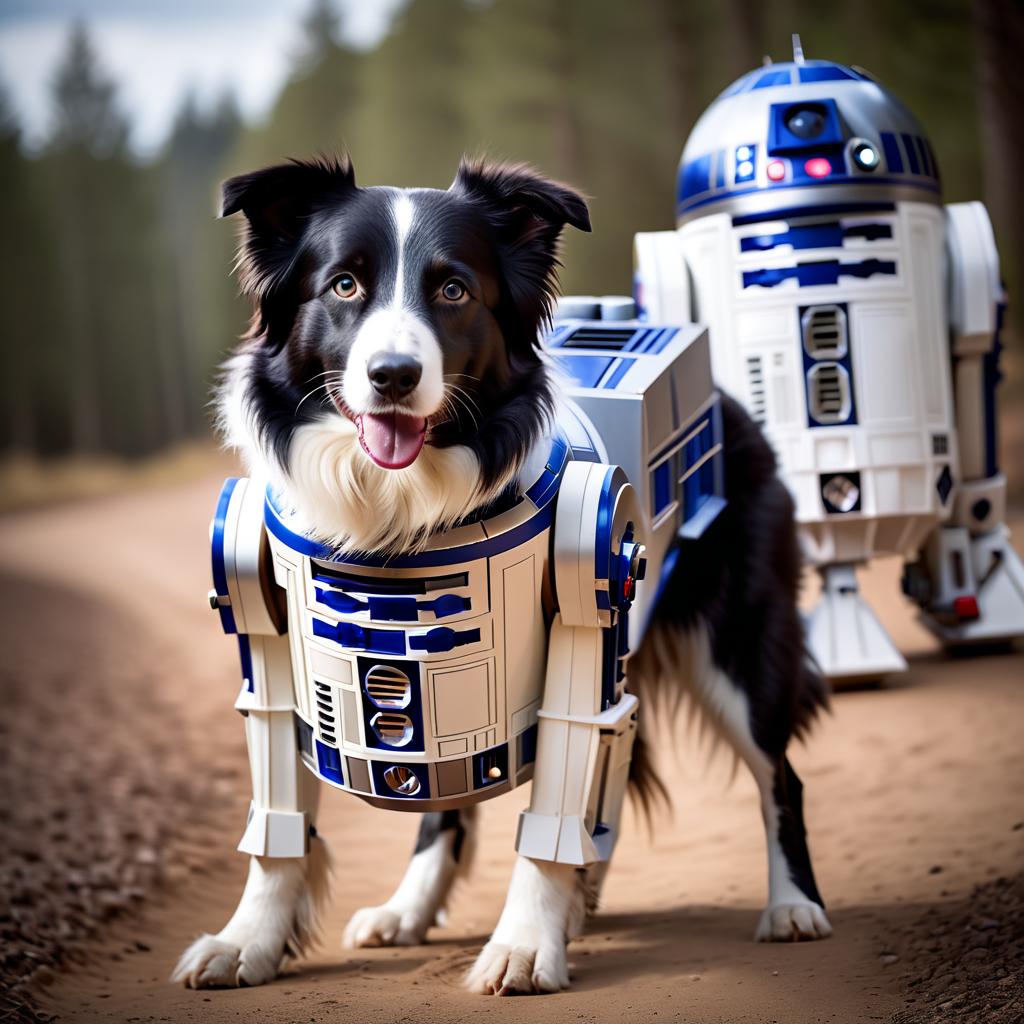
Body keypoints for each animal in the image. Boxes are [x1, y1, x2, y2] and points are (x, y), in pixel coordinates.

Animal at [176, 155, 831, 995]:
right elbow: (280, 813)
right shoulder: (286, 628)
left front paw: (524, 944)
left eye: (454, 290)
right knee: (453, 792)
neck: (399, 510)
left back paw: (792, 907)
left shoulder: (575, 625)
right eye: (344, 285)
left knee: (776, 775)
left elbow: (555, 801)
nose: (394, 375)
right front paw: (246, 941)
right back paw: (413, 909)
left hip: (735, 643)